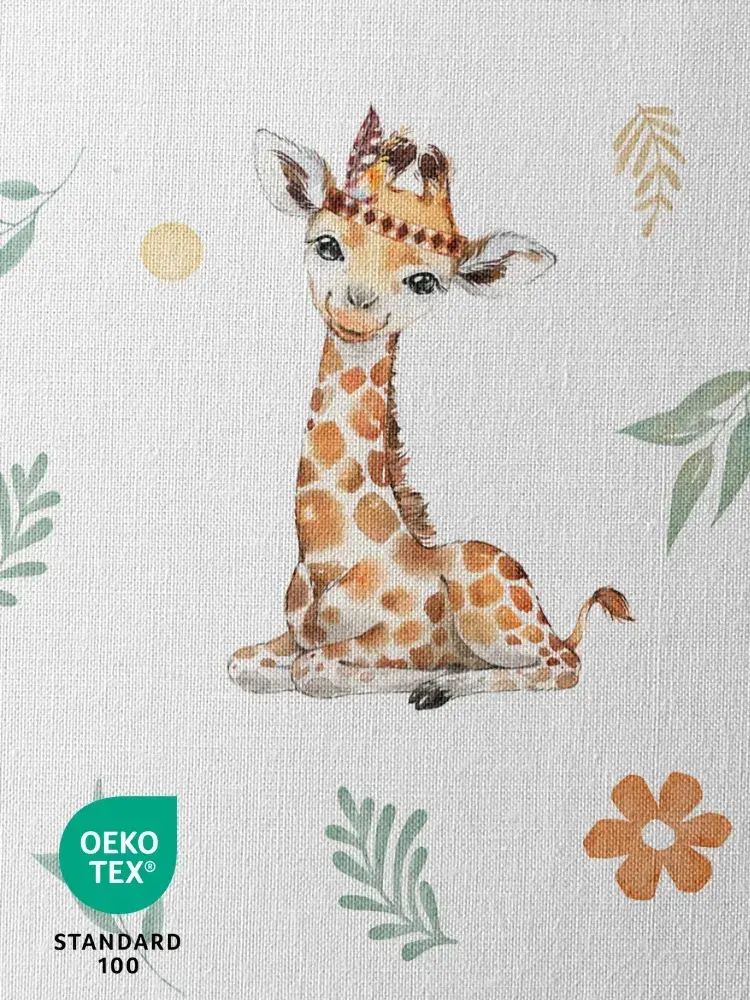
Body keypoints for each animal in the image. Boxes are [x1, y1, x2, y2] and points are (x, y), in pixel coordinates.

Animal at [228, 108, 633, 709]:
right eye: (327, 244)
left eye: (424, 281)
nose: (357, 306)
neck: (332, 561)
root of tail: (545, 612)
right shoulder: (290, 634)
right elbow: (245, 664)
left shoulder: (394, 636)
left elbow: (316, 671)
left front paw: (424, 675)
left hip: (500, 620)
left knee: (564, 663)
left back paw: (440, 685)